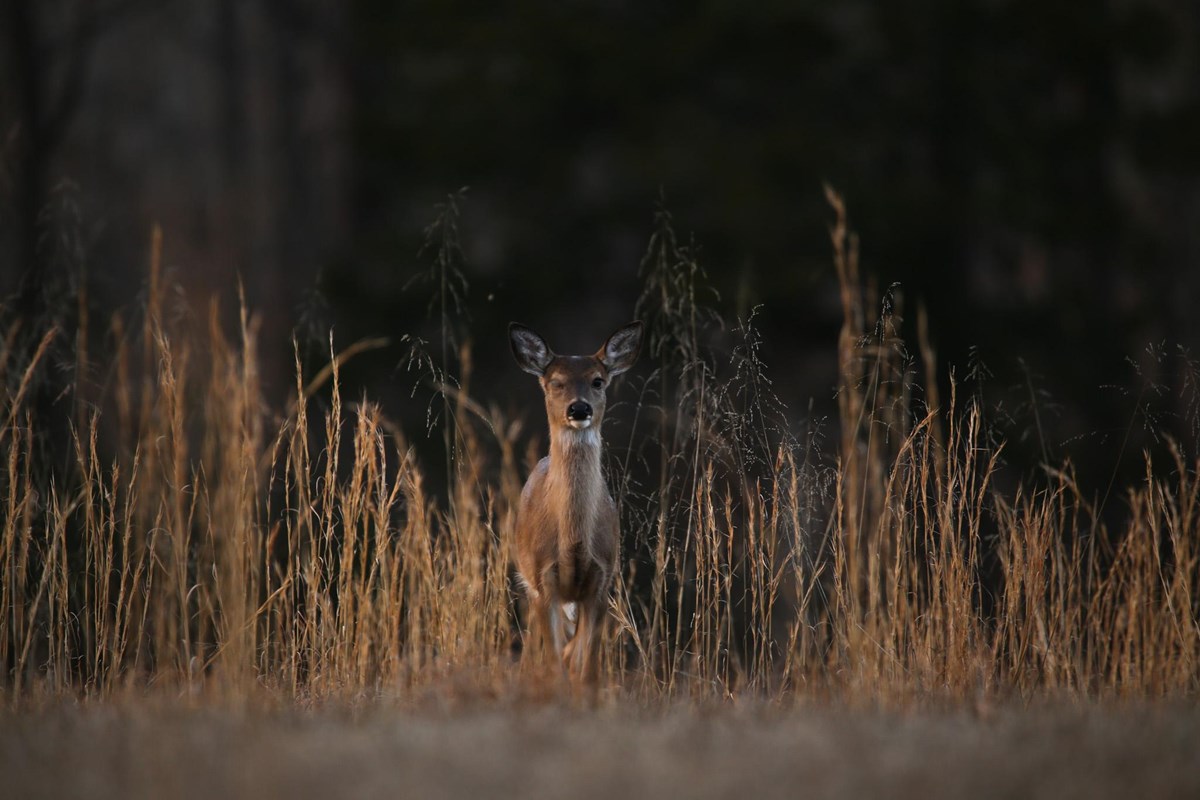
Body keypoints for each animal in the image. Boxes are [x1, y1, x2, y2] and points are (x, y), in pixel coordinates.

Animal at [508, 320, 643, 685]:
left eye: (597, 380)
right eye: (556, 382)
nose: (579, 408)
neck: (573, 540)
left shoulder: (602, 580)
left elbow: (587, 668)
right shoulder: (544, 580)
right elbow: (554, 663)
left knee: (570, 653)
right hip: (530, 583)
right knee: (535, 652)